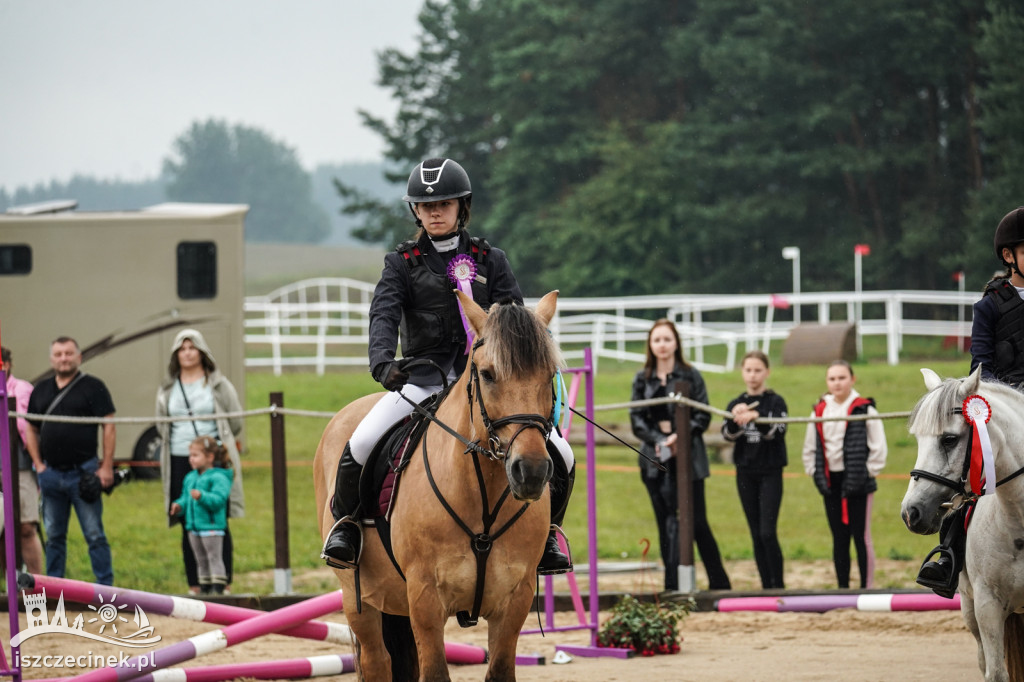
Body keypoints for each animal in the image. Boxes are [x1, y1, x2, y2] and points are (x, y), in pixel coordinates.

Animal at [315, 288, 565, 675]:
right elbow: (433, 670)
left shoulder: (515, 600)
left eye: (550, 375)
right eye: (488, 375)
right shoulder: (425, 599)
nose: (532, 471)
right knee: (376, 660)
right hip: (359, 598)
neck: (482, 498)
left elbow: (500, 669)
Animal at [901, 366, 1024, 679]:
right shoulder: (987, 606)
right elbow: (996, 672)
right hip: (970, 609)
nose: (911, 512)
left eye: (948, 439)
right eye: (918, 439)